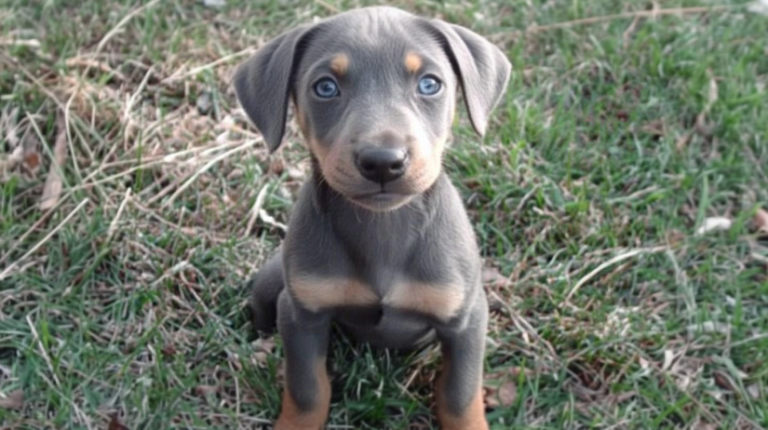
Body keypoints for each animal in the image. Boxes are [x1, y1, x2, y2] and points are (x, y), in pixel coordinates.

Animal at [234, 6, 510, 430]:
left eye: (430, 84)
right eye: (325, 87)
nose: (384, 162)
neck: (384, 228)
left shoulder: (465, 319)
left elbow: (459, 395)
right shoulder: (302, 314)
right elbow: (307, 390)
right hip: (271, 283)